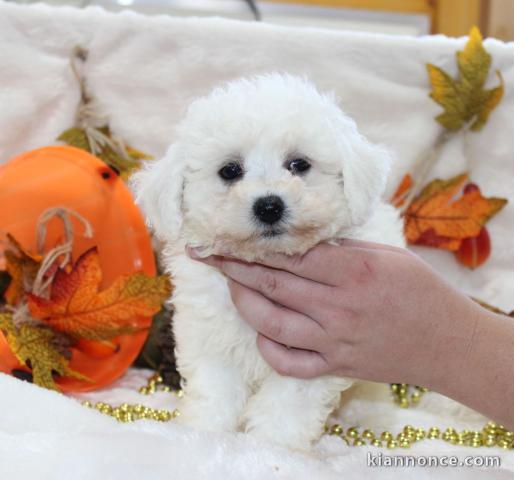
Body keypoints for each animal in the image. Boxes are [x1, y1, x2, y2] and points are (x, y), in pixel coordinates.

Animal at [132, 74, 404, 450]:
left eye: (299, 164)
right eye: (230, 171)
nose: (269, 205)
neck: (265, 262)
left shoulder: (315, 350)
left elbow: (287, 403)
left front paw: (271, 448)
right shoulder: (210, 334)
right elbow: (215, 390)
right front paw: (204, 434)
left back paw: (374, 419)